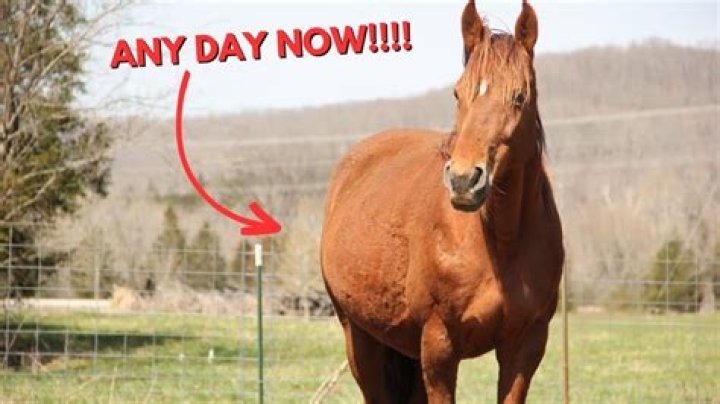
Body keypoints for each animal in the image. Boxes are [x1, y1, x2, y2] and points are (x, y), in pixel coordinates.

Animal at [320, 1, 564, 402]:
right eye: (457, 93)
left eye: (519, 97)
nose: (464, 180)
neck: (499, 244)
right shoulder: (439, 345)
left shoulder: (525, 347)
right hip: (360, 338)